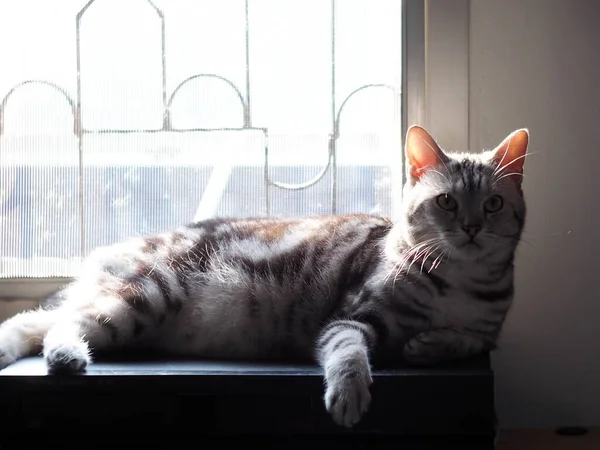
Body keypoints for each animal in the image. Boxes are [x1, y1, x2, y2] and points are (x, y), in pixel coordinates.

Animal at [0, 125, 528, 428]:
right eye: (447, 202)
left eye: (493, 203)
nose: (471, 227)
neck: (458, 283)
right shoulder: (352, 317)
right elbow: (349, 353)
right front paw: (350, 393)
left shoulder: (488, 331)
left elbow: (468, 340)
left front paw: (430, 343)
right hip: (145, 297)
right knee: (61, 324)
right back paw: (66, 355)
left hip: (129, 310)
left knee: (33, 319)